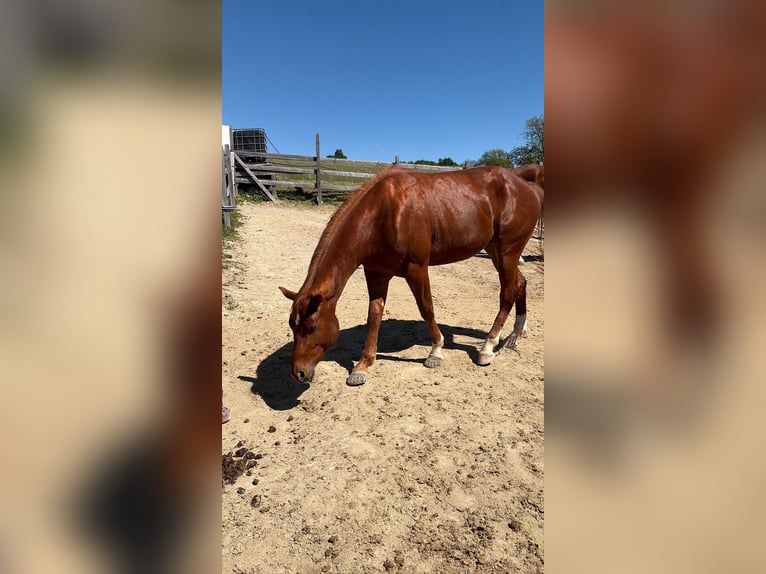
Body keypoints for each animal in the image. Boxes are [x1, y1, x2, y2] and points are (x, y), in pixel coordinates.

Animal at [279, 165, 544, 386]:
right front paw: (363, 366)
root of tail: (524, 185)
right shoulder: (375, 273)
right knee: (520, 283)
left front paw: (435, 351)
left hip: (507, 251)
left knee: (507, 293)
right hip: (495, 250)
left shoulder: (416, 269)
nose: (298, 373)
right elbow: (374, 315)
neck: (382, 213)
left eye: (312, 327)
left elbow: (426, 308)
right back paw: (516, 333)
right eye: (292, 326)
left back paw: (488, 346)